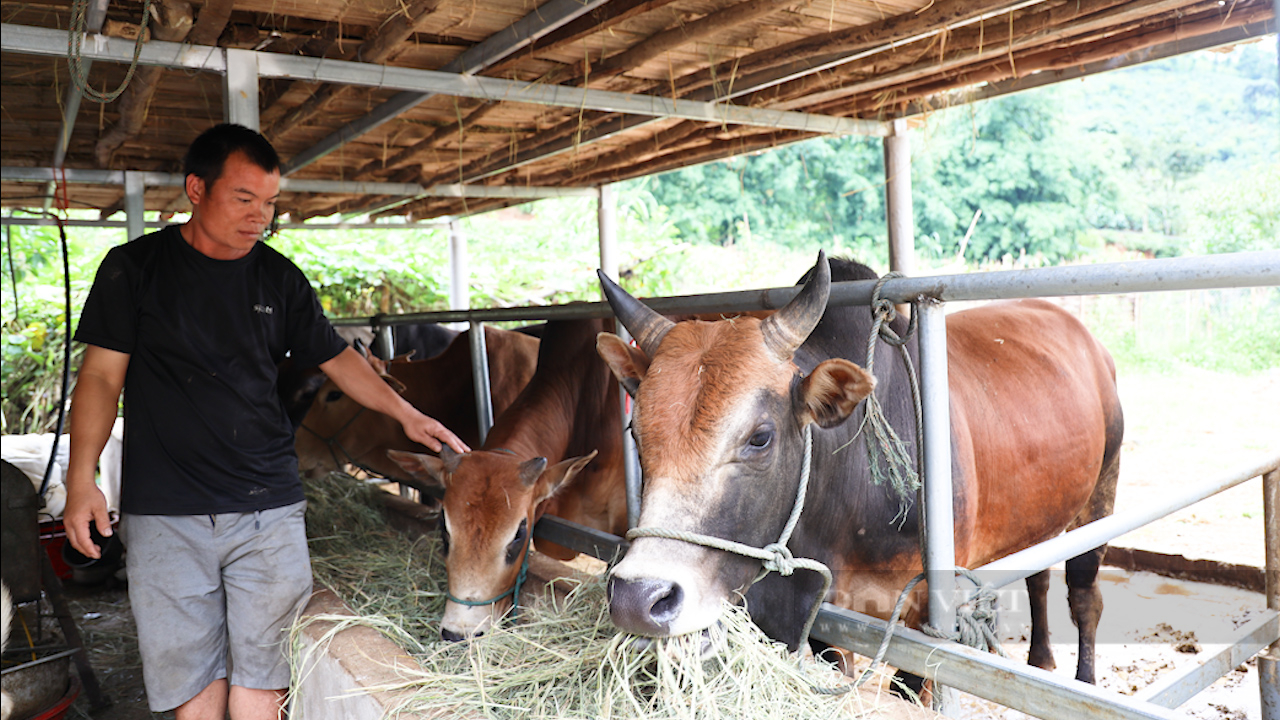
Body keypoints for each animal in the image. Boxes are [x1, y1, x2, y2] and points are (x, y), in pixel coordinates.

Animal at [591, 252, 1121, 681]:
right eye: (636, 432)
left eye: (760, 437)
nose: (638, 599)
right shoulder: (828, 622)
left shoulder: (928, 613)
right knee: (1039, 576)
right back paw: (1042, 659)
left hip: (1100, 498)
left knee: (1084, 596)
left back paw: (1083, 678)